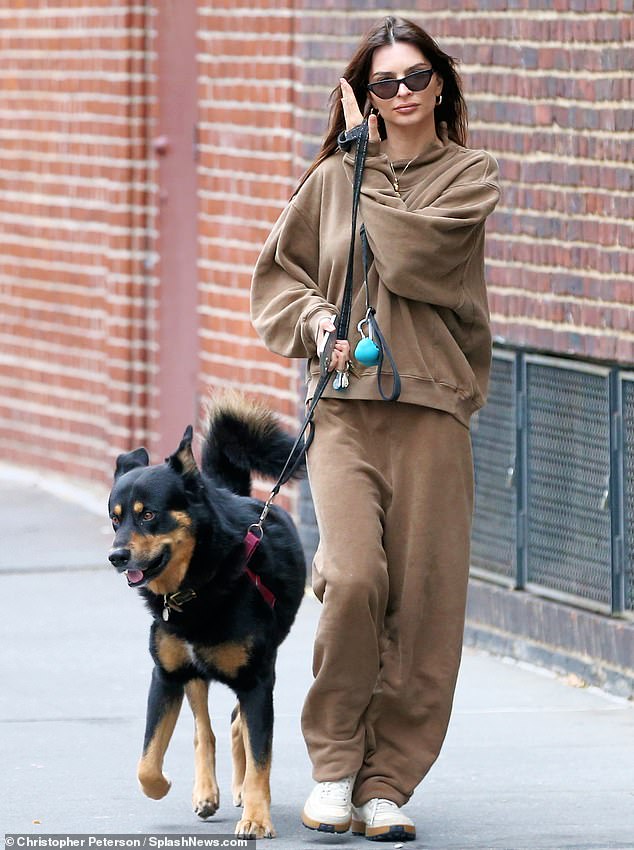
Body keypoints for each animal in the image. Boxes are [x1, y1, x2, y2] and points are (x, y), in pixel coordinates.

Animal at [107, 390, 304, 836]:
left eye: (148, 514)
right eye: (115, 519)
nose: (116, 556)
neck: (199, 585)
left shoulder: (256, 681)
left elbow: (260, 757)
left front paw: (256, 817)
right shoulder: (167, 675)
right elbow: (147, 761)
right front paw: (163, 786)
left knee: (236, 726)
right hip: (193, 674)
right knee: (205, 730)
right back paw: (207, 792)